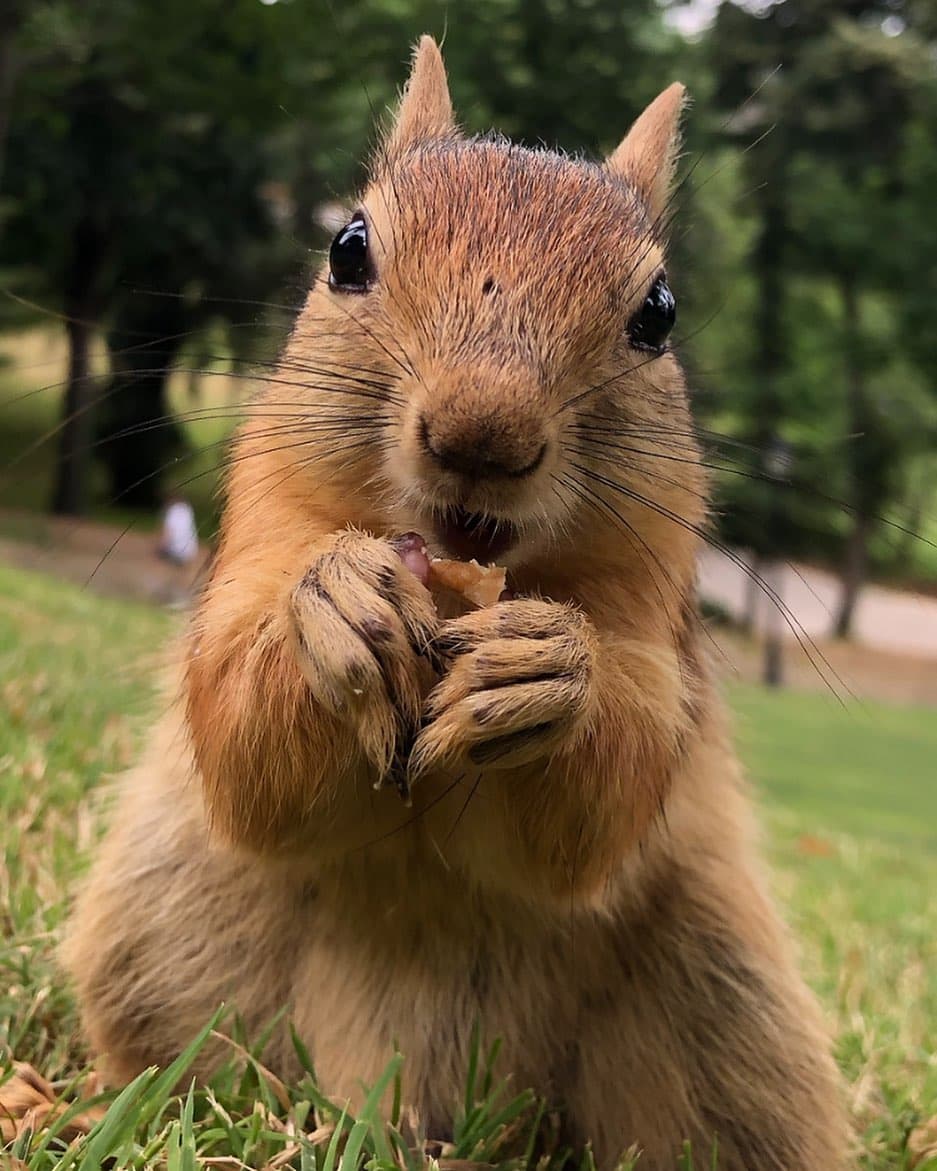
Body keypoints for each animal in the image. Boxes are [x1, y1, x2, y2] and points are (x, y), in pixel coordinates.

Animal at [60, 36, 847, 1171]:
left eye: (657, 313)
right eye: (346, 249)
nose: (484, 432)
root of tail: (389, 1099)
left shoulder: (653, 618)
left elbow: (595, 810)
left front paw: (548, 672)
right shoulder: (260, 534)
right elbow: (244, 747)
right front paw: (334, 604)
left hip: (725, 1015)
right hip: (165, 933)